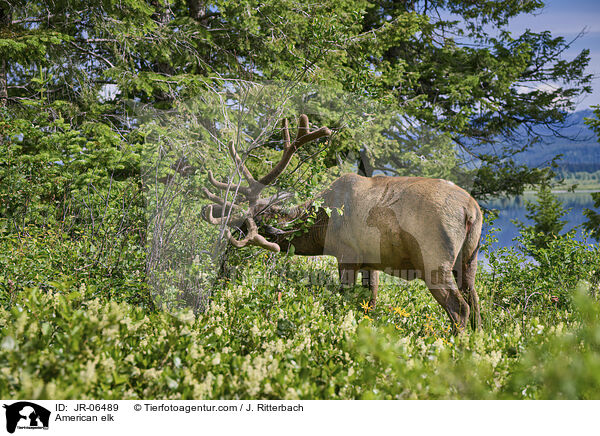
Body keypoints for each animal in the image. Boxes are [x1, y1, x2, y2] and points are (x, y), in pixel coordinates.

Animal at [202, 115, 482, 330]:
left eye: (251, 223)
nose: (223, 255)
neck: (321, 225)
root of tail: (471, 211)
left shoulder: (347, 254)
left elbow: (344, 299)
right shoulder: (371, 261)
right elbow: (370, 303)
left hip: (435, 259)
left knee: (460, 308)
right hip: (469, 259)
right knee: (476, 302)